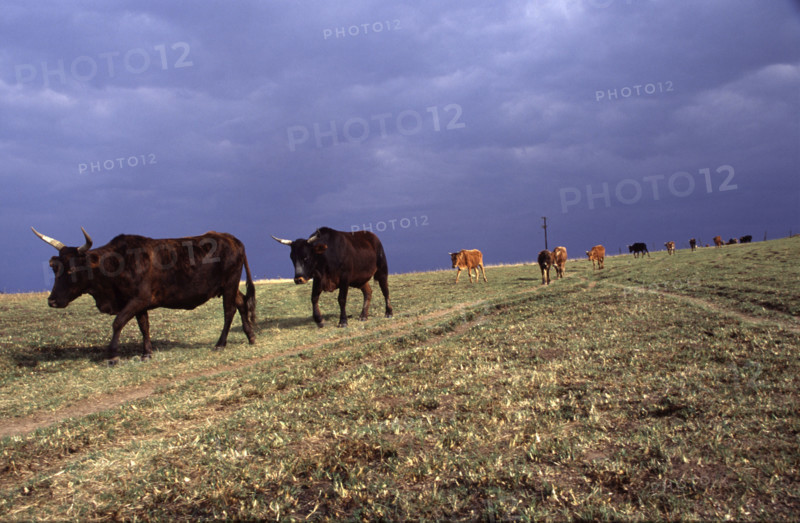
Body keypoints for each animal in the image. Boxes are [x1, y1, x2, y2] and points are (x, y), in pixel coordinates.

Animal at [32, 227, 256, 363]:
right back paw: (251, 336)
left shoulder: (138, 300)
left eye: (72, 269)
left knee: (229, 311)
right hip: (228, 287)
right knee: (242, 303)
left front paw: (113, 356)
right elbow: (144, 326)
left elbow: (118, 322)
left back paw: (220, 344)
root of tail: (231, 238)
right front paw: (146, 353)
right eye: (54, 268)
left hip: (229, 284)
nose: (52, 301)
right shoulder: (139, 304)